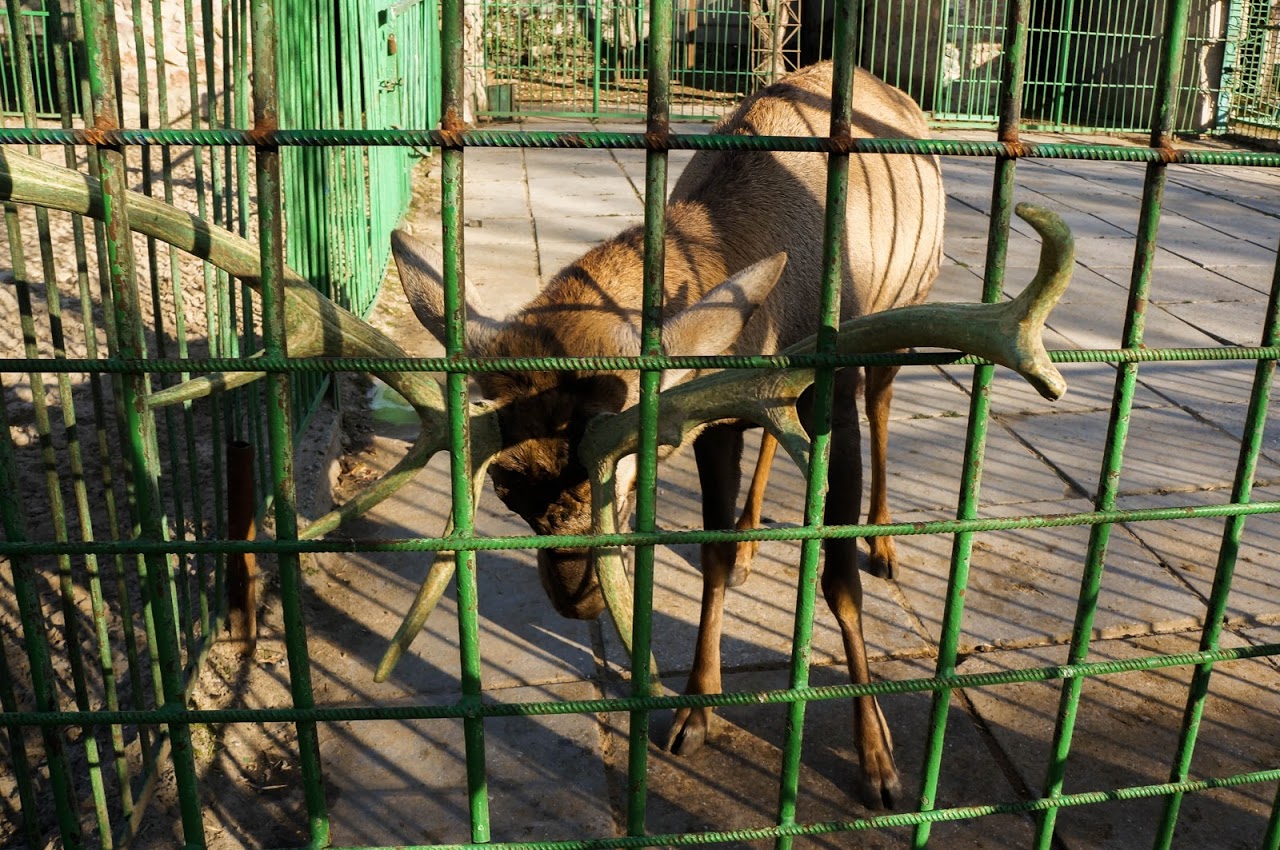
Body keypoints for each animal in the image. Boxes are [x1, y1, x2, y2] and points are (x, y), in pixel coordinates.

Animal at [394, 61, 947, 809]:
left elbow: (837, 582)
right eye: (506, 487)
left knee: (885, 407)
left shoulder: (833, 395)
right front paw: (695, 710)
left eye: (636, 457)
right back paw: (751, 537)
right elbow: (710, 558)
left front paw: (878, 757)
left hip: (903, 314)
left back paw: (884, 541)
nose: (576, 598)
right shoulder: (711, 415)